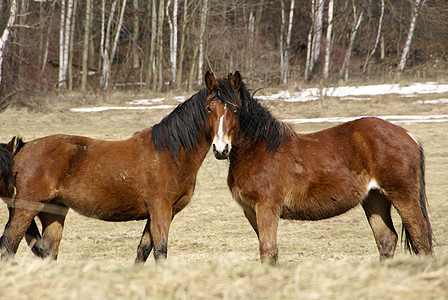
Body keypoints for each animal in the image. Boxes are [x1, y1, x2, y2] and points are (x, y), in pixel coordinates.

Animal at [0, 78, 215, 264]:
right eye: (210, 108)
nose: (222, 150)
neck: (169, 153)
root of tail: (23, 148)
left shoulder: (158, 214)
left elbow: (143, 250)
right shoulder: (160, 210)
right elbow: (160, 251)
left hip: (53, 211)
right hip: (27, 208)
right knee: (8, 245)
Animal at [206, 71, 434, 264]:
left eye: (235, 109)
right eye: (209, 108)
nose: (221, 149)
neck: (259, 149)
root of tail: (407, 135)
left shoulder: (267, 208)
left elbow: (268, 250)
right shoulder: (251, 211)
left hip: (402, 194)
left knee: (421, 237)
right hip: (374, 197)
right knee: (387, 239)